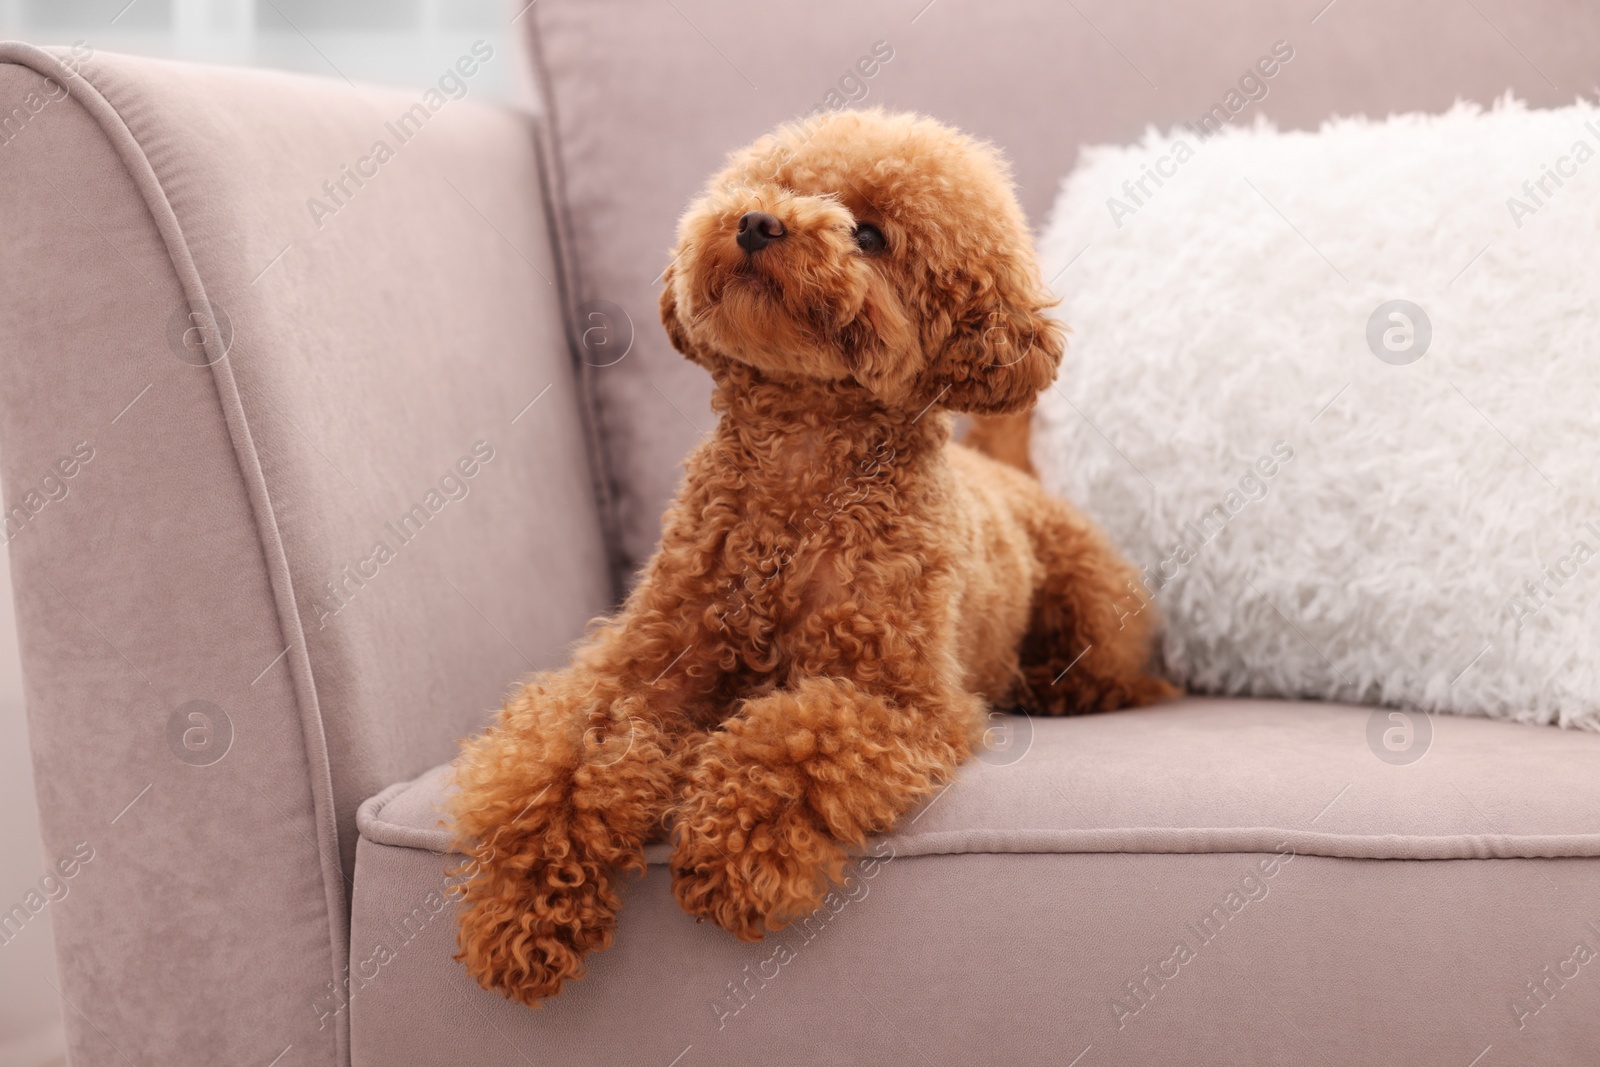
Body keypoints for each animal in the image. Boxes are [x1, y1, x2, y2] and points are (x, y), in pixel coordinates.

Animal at [451, 110, 1177, 1011]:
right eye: (776, 184)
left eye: (869, 235)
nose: (758, 223)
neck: (799, 467)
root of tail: (1010, 472)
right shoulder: (638, 666)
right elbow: (567, 752)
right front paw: (523, 906)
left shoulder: (901, 700)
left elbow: (793, 738)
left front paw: (730, 853)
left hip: (1093, 606)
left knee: (1113, 672)